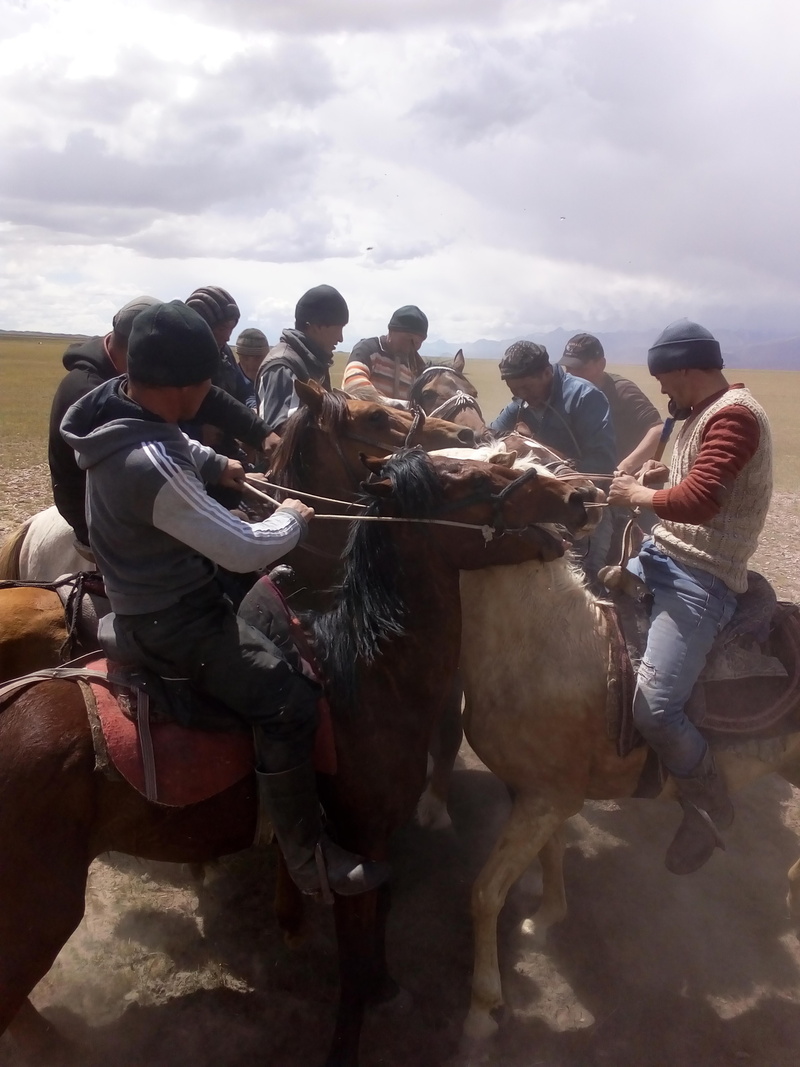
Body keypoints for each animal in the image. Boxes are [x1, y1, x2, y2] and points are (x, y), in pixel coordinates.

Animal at [0, 446, 601, 1067]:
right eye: (476, 478)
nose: (579, 496)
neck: (368, 674)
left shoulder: (377, 844)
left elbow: (380, 920)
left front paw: (387, 987)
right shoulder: (359, 841)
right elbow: (354, 960)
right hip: (40, 911)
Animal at [456, 488, 800, 1041]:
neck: (547, 643)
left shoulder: (543, 800)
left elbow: (486, 893)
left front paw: (482, 1009)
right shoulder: (543, 797)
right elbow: (551, 855)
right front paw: (547, 918)